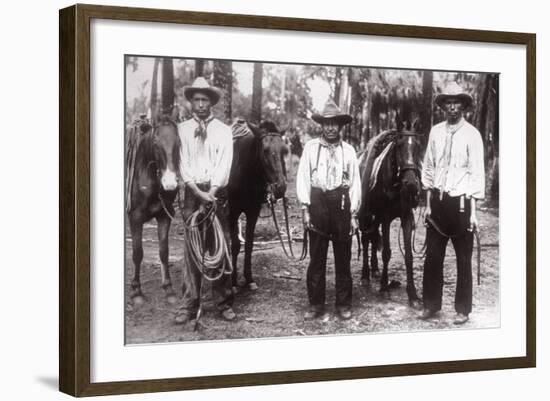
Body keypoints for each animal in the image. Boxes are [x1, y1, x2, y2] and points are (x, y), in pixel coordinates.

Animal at [127, 117, 181, 304]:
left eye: (178, 143)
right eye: (156, 144)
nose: (170, 183)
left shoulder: (164, 216)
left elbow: (164, 252)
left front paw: (169, 289)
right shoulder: (135, 219)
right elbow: (137, 253)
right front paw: (136, 292)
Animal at [227, 119, 288, 290]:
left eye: (284, 150)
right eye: (265, 150)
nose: (280, 187)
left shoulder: (253, 212)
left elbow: (249, 245)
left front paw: (249, 279)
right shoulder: (232, 212)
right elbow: (236, 245)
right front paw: (233, 282)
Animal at [360, 119, 424, 306]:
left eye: (418, 146)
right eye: (399, 146)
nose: (411, 184)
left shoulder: (406, 217)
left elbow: (409, 255)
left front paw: (413, 294)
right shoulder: (386, 218)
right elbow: (387, 252)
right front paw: (384, 287)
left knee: (373, 238)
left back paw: (374, 269)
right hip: (367, 216)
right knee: (366, 239)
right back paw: (366, 275)